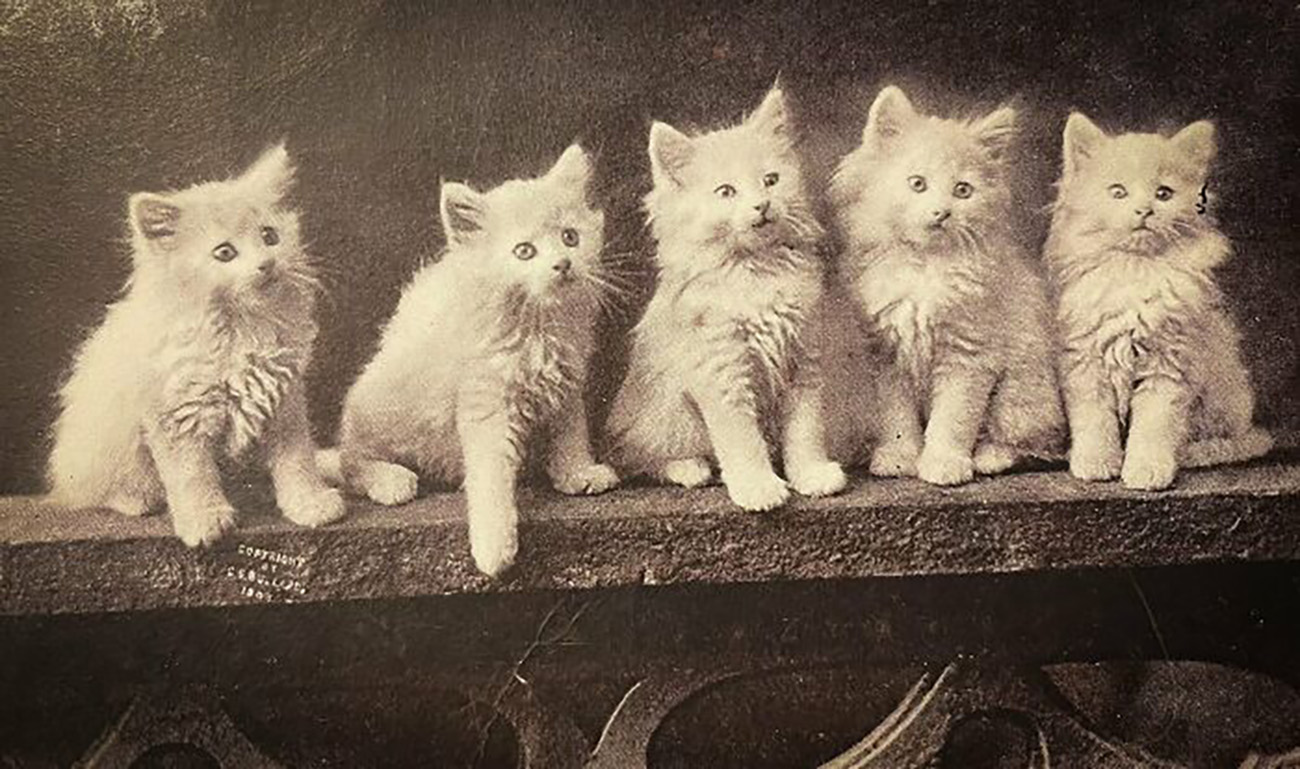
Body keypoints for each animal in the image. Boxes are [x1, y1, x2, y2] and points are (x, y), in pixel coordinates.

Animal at [47, 143, 346, 546]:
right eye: (224, 253)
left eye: (270, 236)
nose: (267, 264)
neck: (240, 330)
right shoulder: (175, 414)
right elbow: (192, 476)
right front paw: (205, 520)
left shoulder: (283, 400)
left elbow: (297, 460)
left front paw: (310, 504)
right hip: (101, 440)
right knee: (95, 489)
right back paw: (137, 500)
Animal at [321, 144, 619, 577]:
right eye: (524, 251)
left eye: (570, 237)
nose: (563, 264)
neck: (537, 326)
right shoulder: (485, 402)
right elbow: (490, 477)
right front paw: (494, 549)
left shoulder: (566, 385)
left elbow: (571, 433)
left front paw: (578, 473)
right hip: (375, 410)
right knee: (350, 463)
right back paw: (390, 480)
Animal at [605, 84, 848, 511]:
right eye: (726, 192)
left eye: (771, 180)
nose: (761, 205)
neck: (757, 270)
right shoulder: (722, 369)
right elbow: (742, 440)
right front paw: (759, 487)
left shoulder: (803, 360)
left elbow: (805, 430)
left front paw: (811, 475)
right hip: (668, 414)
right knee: (638, 456)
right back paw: (689, 468)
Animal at [826, 86, 1065, 486]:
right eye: (917, 184)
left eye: (963, 190)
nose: (941, 212)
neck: (925, 268)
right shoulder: (887, 355)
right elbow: (897, 419)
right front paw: (899, 458)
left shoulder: (968, 356)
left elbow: (954, 420)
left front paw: (944, 464)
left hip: (1021, 388)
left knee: (1032, 442)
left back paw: (990, 457)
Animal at [1046, 112, 1272, 490]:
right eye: (1117, 192)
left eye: (1164, 194)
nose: (1144, 210)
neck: (1135, 269)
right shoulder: (1083, 361)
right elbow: (1094, 420)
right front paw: (1095, 462)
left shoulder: (1169, 364)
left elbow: (1155, 426)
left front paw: (1146, 470)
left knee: (1225, 440)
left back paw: (1194, 453)